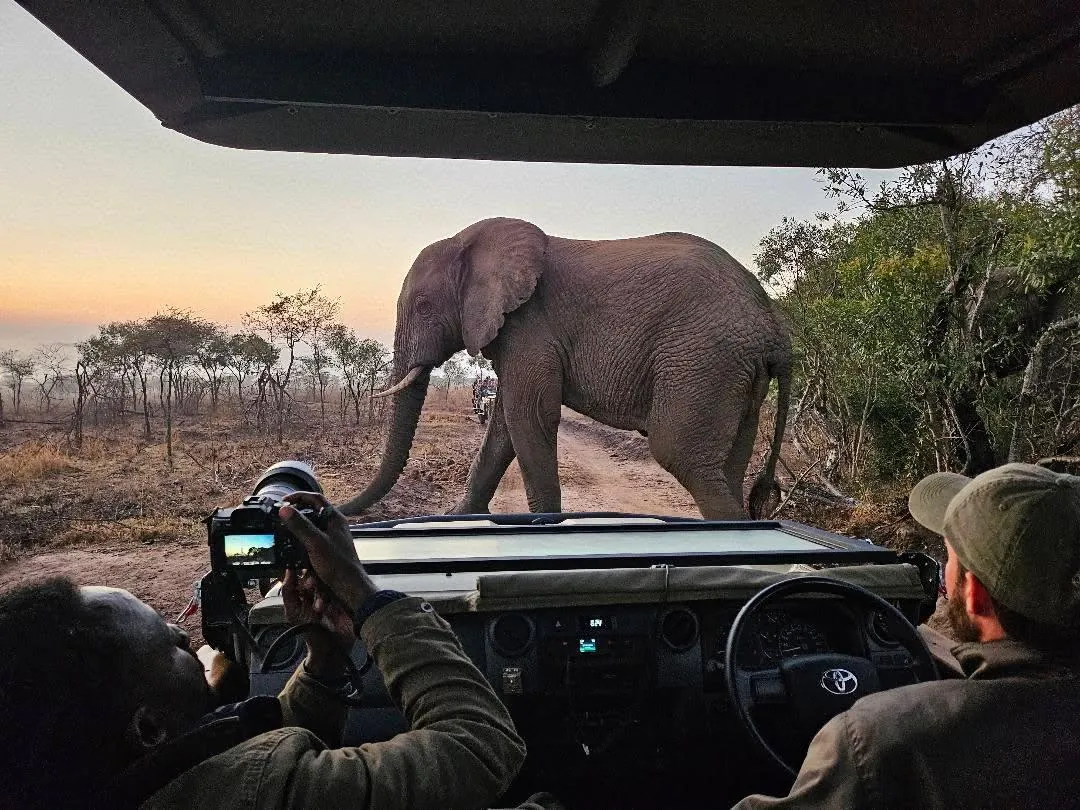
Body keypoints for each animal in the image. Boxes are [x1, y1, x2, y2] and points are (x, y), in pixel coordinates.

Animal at [340, 217, 791, 520]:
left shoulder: (530, 325)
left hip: (703, 359)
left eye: (422, 307)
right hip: (733, 371)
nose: (339, 511)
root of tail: (773, 326)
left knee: (682, 454)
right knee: (729, 465)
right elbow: (503, 426)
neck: (470, 243)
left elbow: (529, 417)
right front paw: (458, 519)